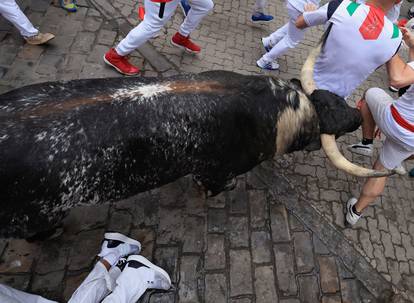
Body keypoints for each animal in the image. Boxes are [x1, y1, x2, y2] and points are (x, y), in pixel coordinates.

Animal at [0, 72, 360, 240]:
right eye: (333, 119)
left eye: (338, 100)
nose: (358, 115)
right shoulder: (218, 169)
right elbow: (216, 185)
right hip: (37, 215)